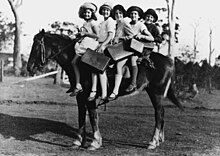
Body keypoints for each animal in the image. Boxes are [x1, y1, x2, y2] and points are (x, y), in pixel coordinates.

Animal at [26, 29, 183, 150]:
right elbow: (81, 117)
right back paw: (159, 139)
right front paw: (78, 141)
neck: (80, 64)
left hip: (156, 93)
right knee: (162, 113)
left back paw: (153, 141)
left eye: (36, 47)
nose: (29, 67)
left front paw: (95, 142)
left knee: (159, 114)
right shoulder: (80, 97)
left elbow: (93, 117)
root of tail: (169, 60)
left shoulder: (89, 97)